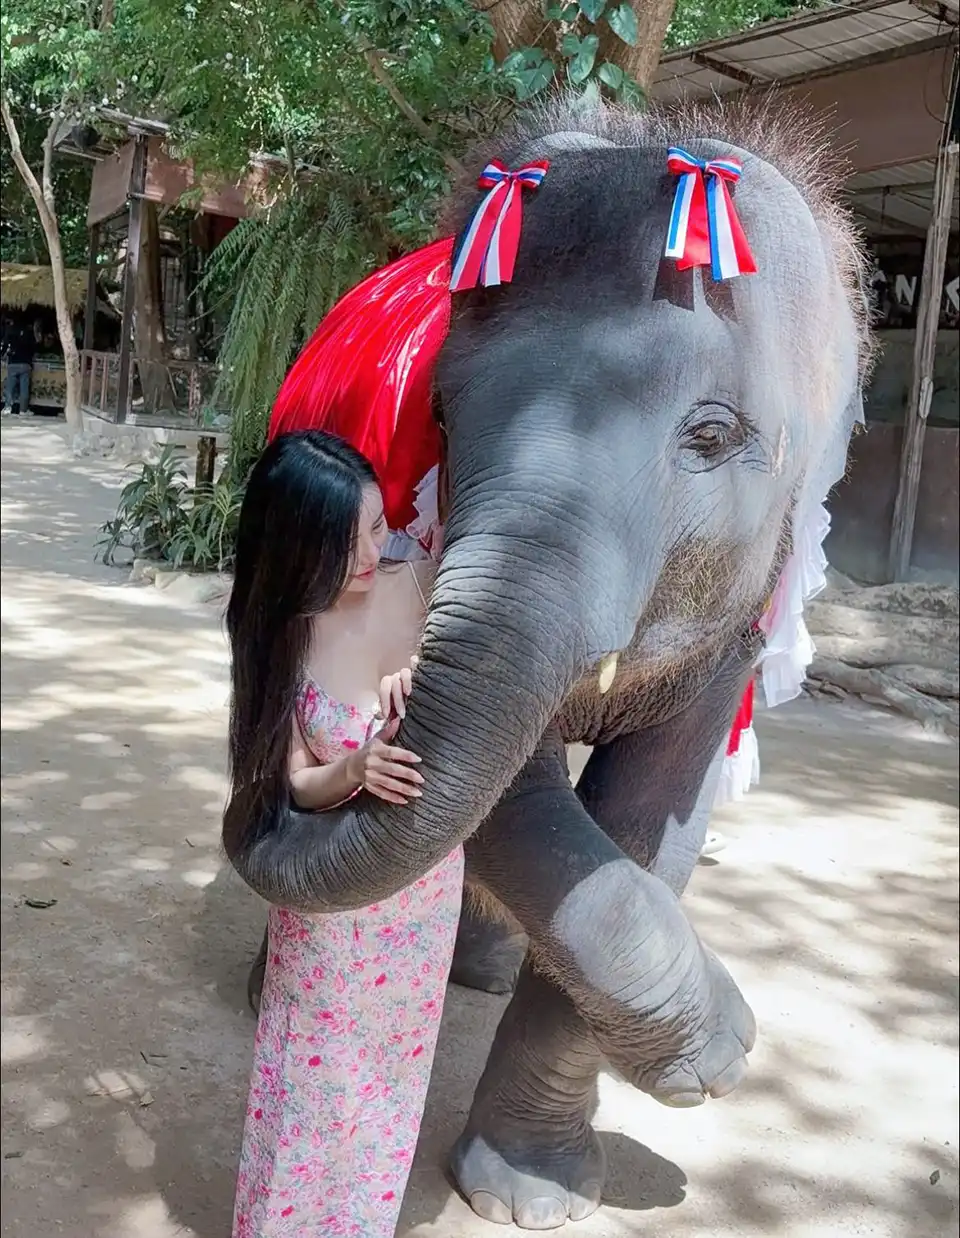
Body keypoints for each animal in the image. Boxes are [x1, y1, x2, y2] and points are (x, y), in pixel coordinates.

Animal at [228, 94, 870, 1230]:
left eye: (713, 435)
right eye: (439, 415)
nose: (739, 1040)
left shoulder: (741, 610)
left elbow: (655, 813)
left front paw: (533, 1191)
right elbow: (508, 799)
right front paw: (718, 1051)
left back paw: (477, 972)